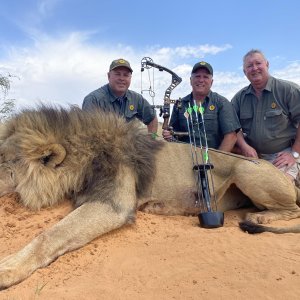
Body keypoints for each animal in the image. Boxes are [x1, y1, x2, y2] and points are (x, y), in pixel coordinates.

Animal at [0, 106, 300, 290]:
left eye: (4, 160)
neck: (84, 157)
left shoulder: (113, 205)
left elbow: (50, 234)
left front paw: (8, 268)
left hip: (246, 169)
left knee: (292, 209)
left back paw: (259, 217)